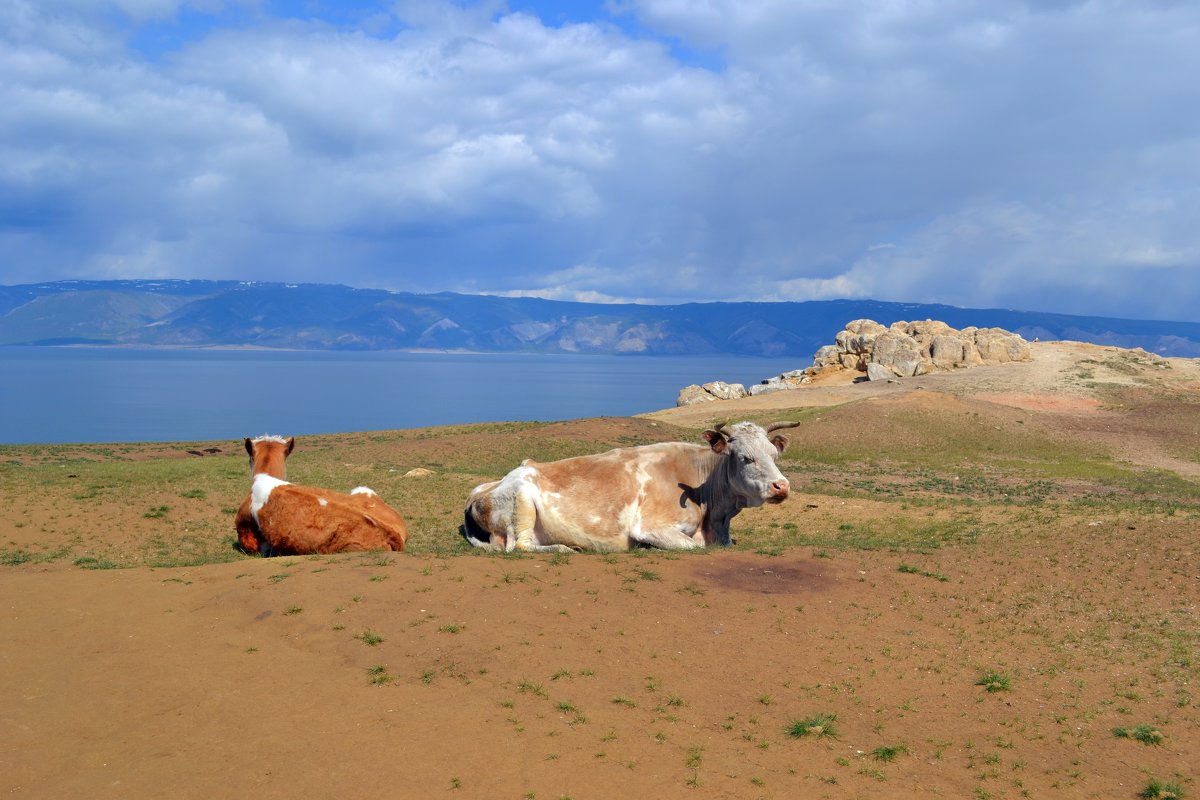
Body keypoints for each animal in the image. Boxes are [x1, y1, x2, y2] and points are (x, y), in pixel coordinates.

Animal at [463, 422, 801, 554]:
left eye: (774, 455)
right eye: (746, 457)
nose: (781, 486)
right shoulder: (650, 525)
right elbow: (693, 546)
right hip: (521, 502)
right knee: (519, 545)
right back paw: (565, 547)